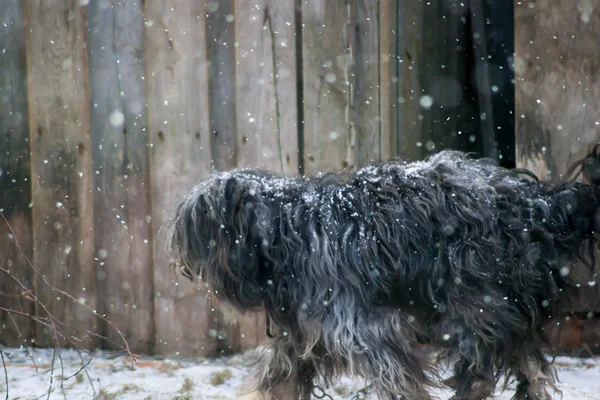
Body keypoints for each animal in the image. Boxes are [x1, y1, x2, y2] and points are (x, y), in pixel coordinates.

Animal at [168, 151, 600, 400]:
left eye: (189, 230)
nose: (176, 259)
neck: (285, 232)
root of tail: (537, 203)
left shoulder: (365, 329)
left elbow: (398, 378)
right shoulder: (304, 338)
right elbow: (275, 380)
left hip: (475, 304)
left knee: (481, 374)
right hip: (506, 311)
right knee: (531, 371)